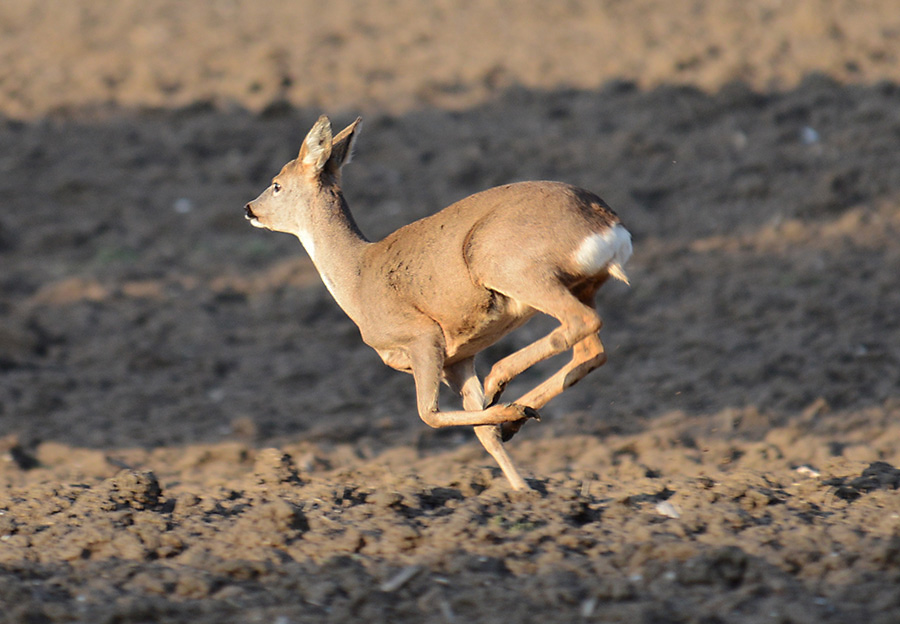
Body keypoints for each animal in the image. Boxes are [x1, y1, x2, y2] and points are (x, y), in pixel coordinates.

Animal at [243, 114, 628, 490]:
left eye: (276, 184)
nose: (248, 208)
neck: (357, 278)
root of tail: (608, 224)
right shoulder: (458, 358)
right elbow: (482, 433)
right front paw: (523, 490)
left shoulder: (422, 335)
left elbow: (428, 414)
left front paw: (510, 417)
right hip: (583, 283)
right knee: (591, 350)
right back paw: (516, 413)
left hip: (511, 266)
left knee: (580, 323)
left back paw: (501, 383)